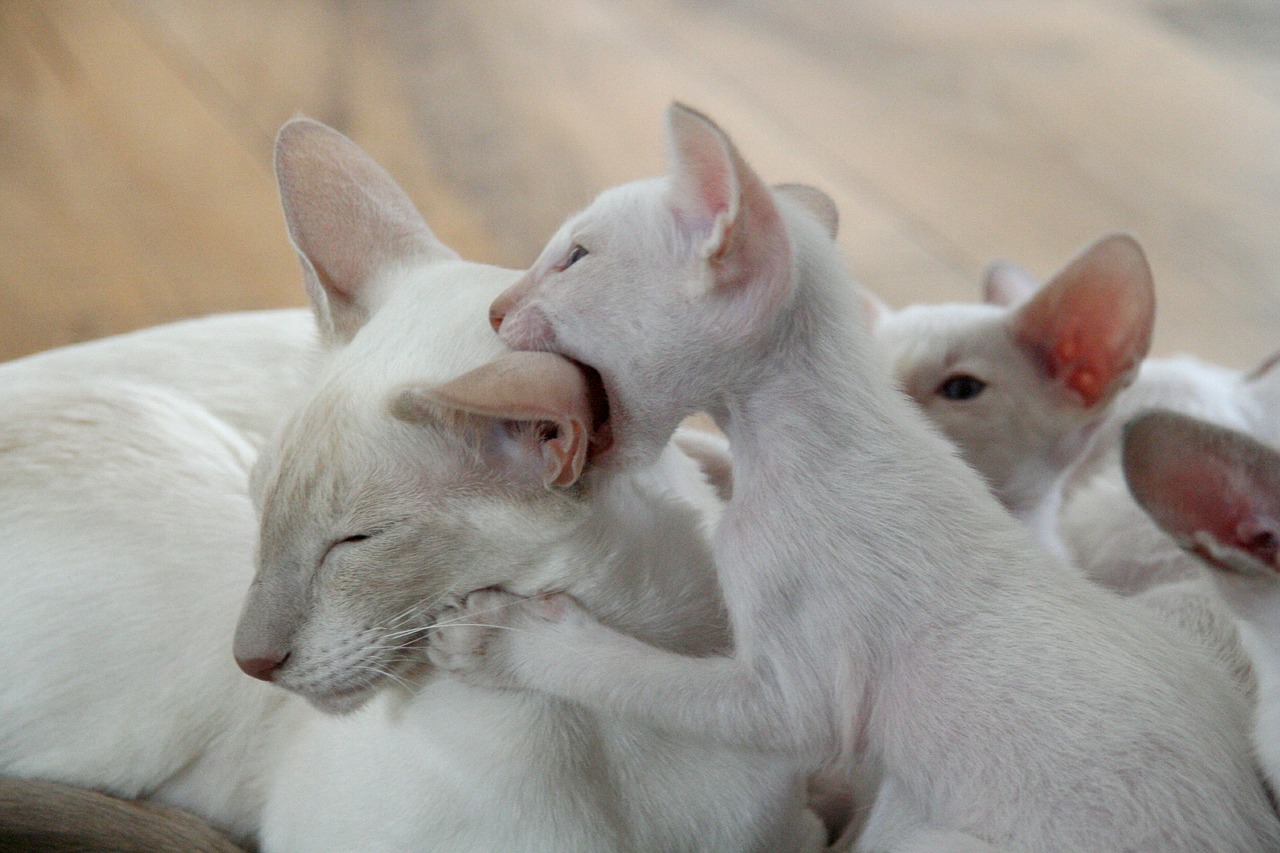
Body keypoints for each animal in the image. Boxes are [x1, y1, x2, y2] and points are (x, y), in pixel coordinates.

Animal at [427, 103, 1280, 845]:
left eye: (573, 257)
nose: (498, 308)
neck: (799, 439)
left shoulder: (791, 702)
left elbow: (629, 673)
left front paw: (502, 638)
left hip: (930, 832)